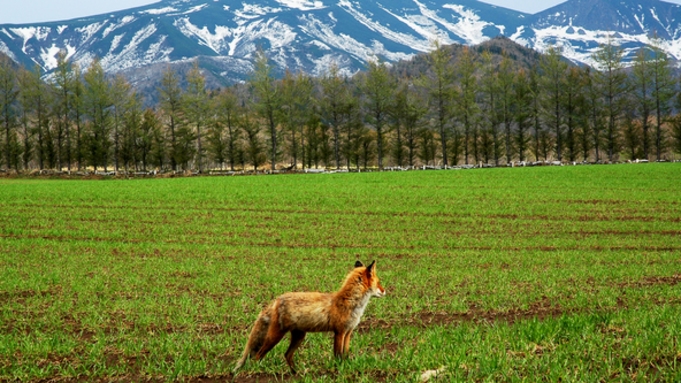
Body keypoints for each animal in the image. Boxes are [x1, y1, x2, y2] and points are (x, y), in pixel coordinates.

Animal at [232, 260, 382, 376]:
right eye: (379, 282)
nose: (385, 291)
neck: (351, 303)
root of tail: (276, 300)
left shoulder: (348, 332)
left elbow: (345, 355)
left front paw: (346, 368)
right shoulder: (339, 332)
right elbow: (338, 356)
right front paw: (338, 372)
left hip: (299, 336)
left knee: (286, 355)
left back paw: (295, 373)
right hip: (275, 336)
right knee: (257, 356)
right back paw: (257, 373)